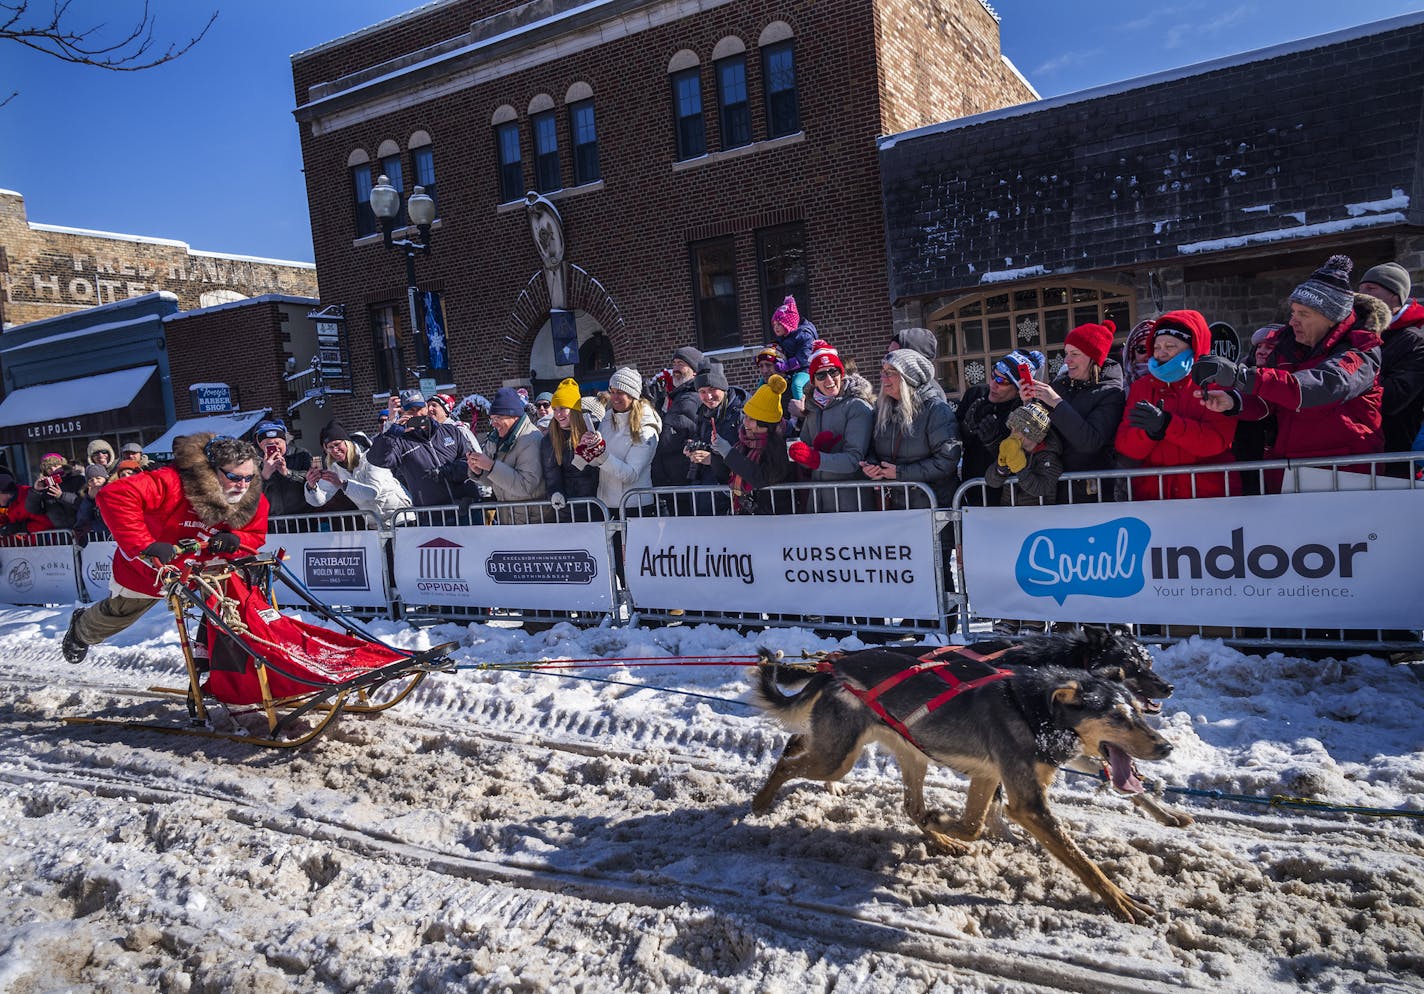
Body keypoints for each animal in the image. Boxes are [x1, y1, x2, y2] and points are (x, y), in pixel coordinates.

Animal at [751, 635, 1173, 922]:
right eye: (1117, 716)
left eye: (1136, 712)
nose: (1166, 747)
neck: (1033, 711)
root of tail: (834, 668)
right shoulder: (1028, 804)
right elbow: (1083, 861)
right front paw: (1120, 899)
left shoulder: (988, 777)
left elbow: (973, 825)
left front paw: (944, 823)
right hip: (838, 757)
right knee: (789, 764)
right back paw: (759, 802)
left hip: (911, 752)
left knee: (911, 805)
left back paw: (939, 836)